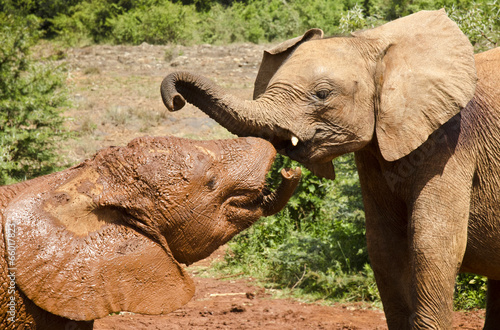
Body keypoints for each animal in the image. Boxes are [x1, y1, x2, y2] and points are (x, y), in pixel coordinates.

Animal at [162, 9, 500, 330]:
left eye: (322, 94)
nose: (175, 98)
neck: (378, 45)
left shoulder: (451, 145)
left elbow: (432, 247)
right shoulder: (374, 156)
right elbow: (384, 249)